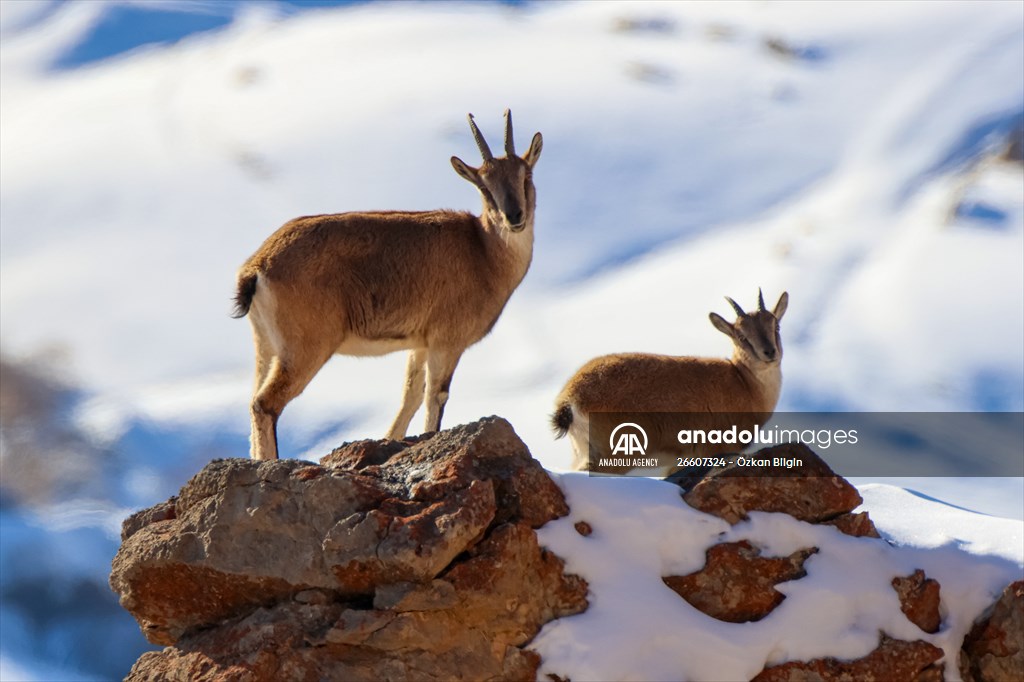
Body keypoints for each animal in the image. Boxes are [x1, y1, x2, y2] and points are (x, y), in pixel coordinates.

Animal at [233, 110, 543, 460]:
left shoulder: (420, 343)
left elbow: (410, 396)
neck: (484, 251)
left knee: (252, 401)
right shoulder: (446, 341)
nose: (514, 216)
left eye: (525, 175)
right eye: (483, 186)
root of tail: (257, 266)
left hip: (266, 346)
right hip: (303, 349)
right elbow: (435, 397)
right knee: (265, 403)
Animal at [551, 290, 789, 475]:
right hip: (616, 452)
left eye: (775, 327)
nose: (769, 352)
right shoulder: (712, 448)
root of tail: (569, 400)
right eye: (742, 337)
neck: (745, 385)